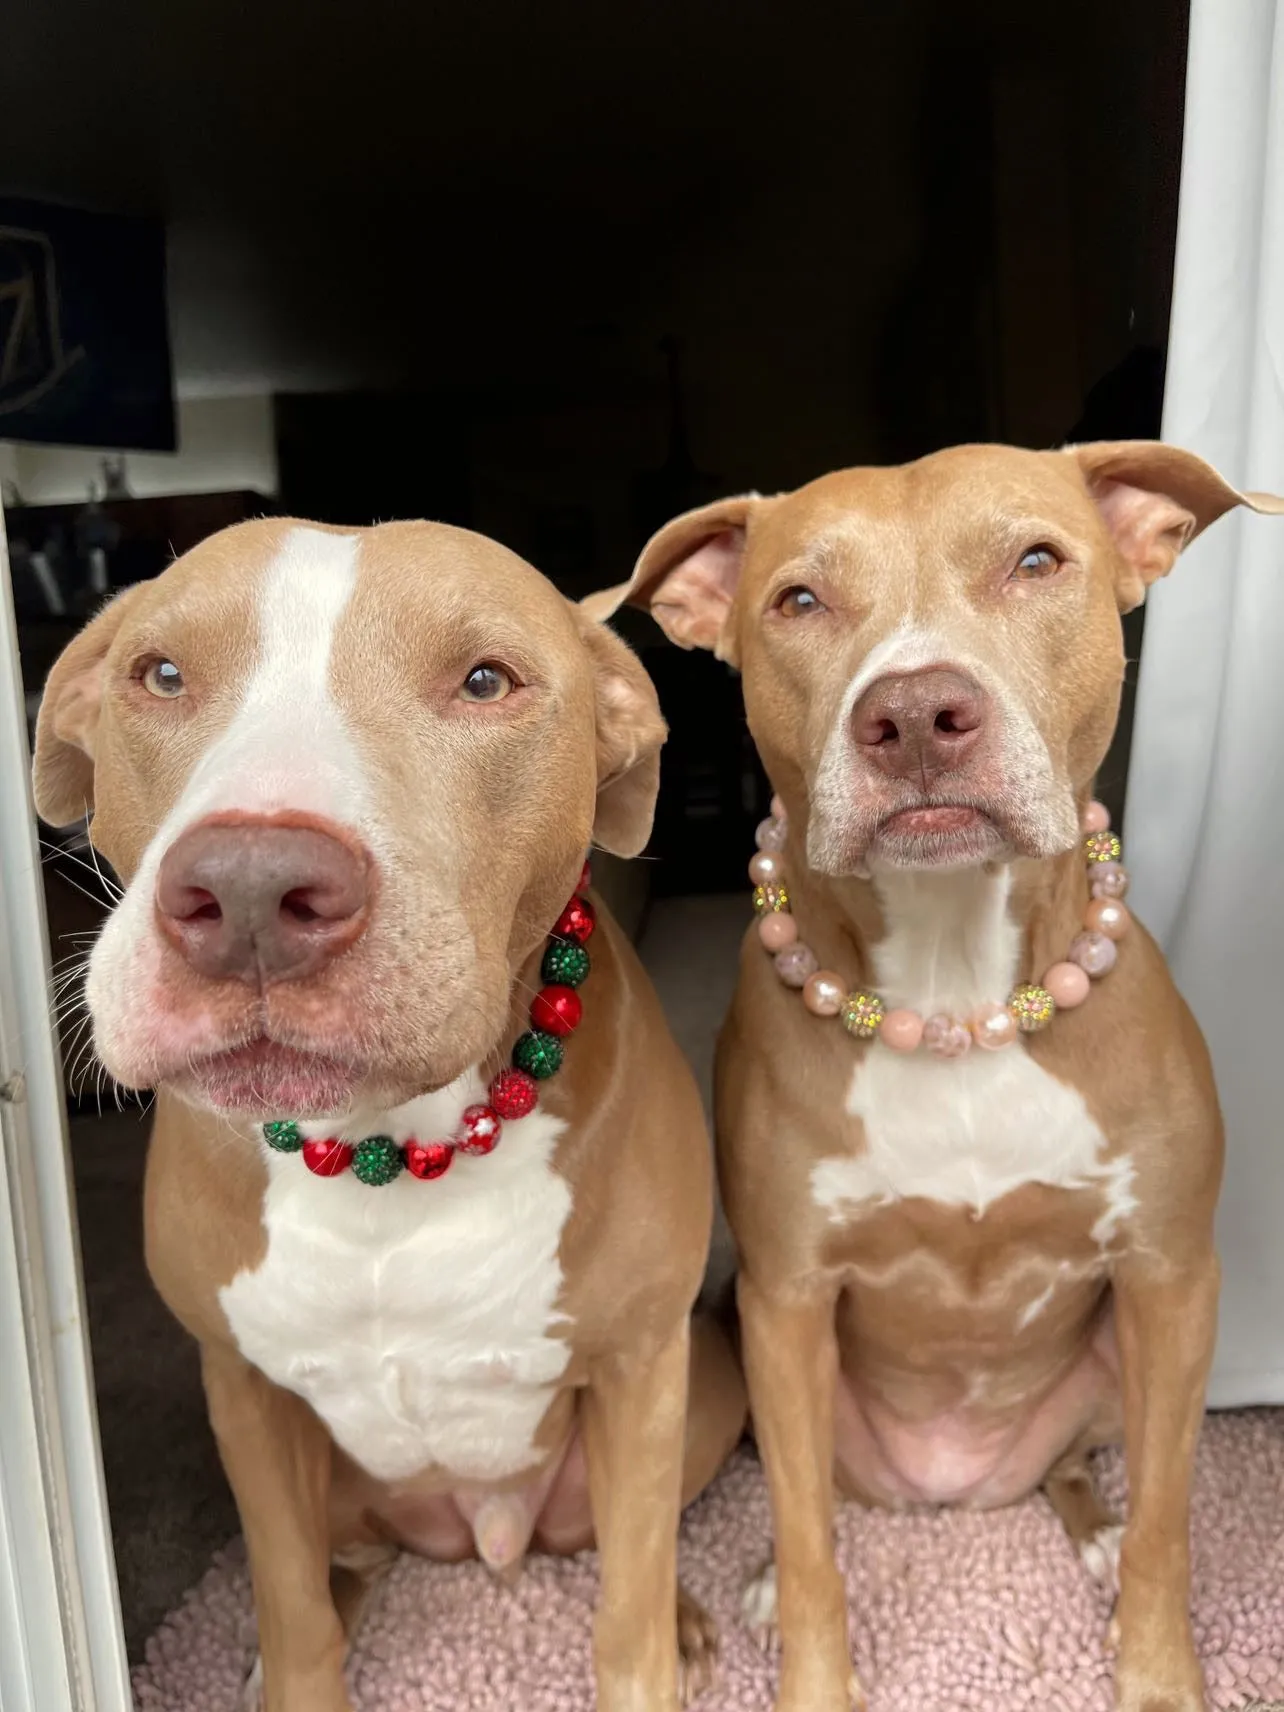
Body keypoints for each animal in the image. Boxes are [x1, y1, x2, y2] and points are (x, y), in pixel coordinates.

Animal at [35, 517, 749, 1712]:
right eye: (161, 674)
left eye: (485, 680)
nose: (249, 886)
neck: (388, 1143)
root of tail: (478, 1532)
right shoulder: (243, 1392)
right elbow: (293, 1604)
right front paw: (291, 1661)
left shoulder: (645, 1364)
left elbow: (629, 1612)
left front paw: (662, 1642)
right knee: (345, 1564)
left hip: (705, 1393)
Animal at [592, 445, 1284, 1712]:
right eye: (797, 599)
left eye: (1038, 560)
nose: (914, 715)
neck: (956, 990)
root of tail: (958, 1487)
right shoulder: (787, 1297)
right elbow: (811, 1541)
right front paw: (812, 1674)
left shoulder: (1172, 1276)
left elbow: (1171, 1517)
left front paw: (1157, 1671)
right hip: (754, 1349)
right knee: (811, 1501)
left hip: (1123, 1353)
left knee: (1084, 1469)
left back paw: (1092, 1529)